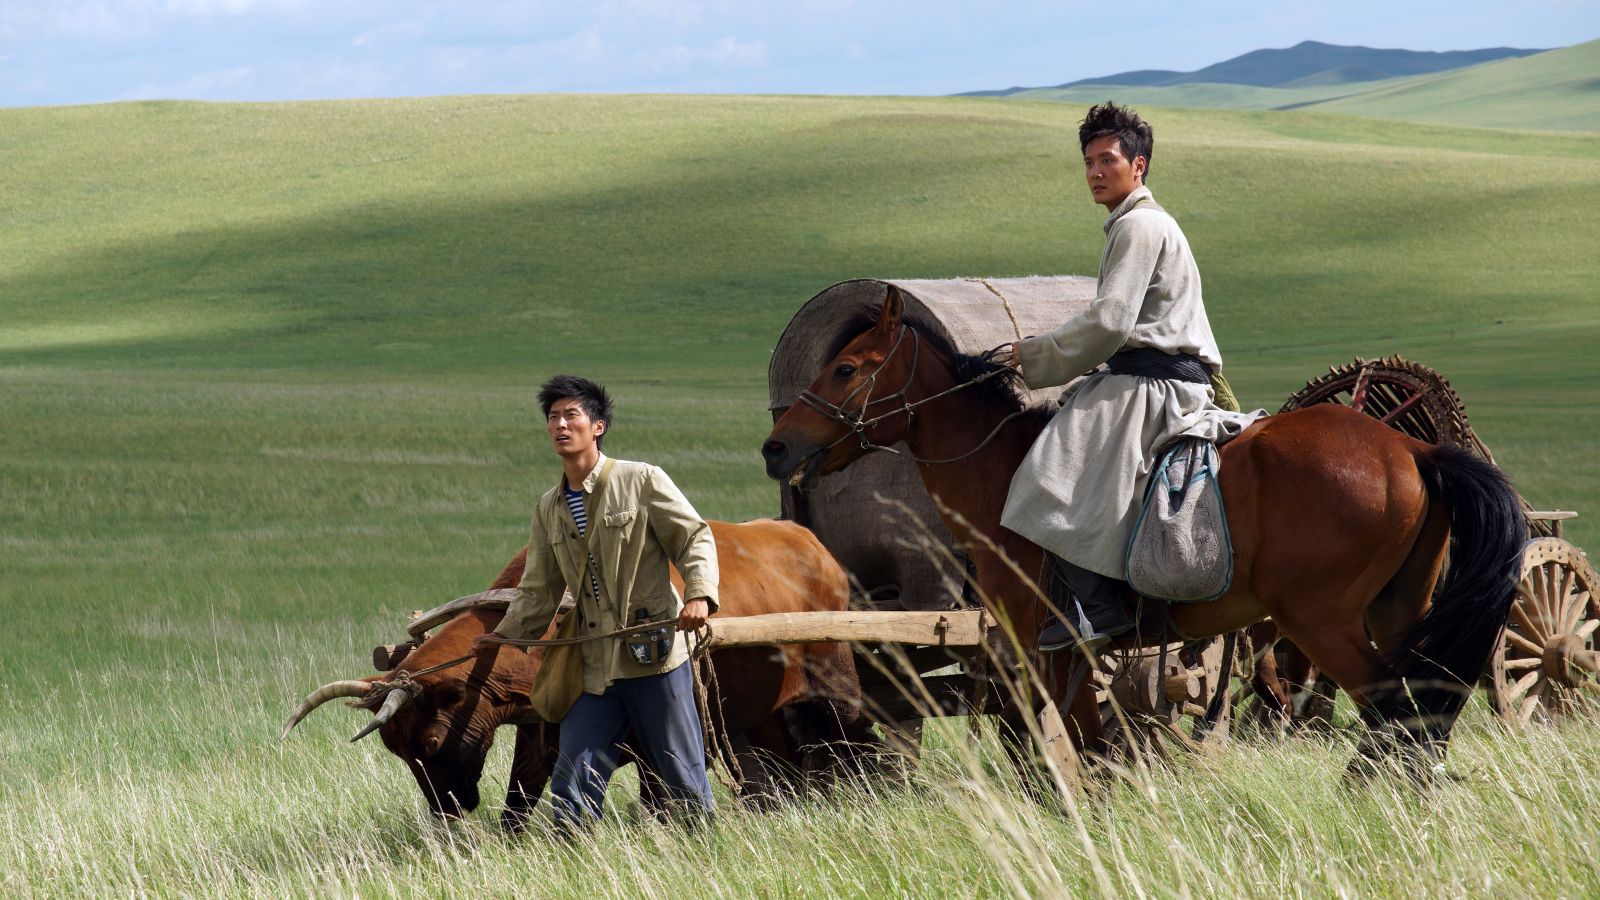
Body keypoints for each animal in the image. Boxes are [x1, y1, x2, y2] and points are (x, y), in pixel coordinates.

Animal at [761, 288, 1523, 771]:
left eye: (847, 368)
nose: (776, 446)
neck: (1001, 469)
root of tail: (1412, 450)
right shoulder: (1064, 655)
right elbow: (1087, 746)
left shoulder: (1048, 645)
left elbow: (1069, 750)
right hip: (1396, 612)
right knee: (1417, 711)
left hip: (1323, 621)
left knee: (1391, 711)